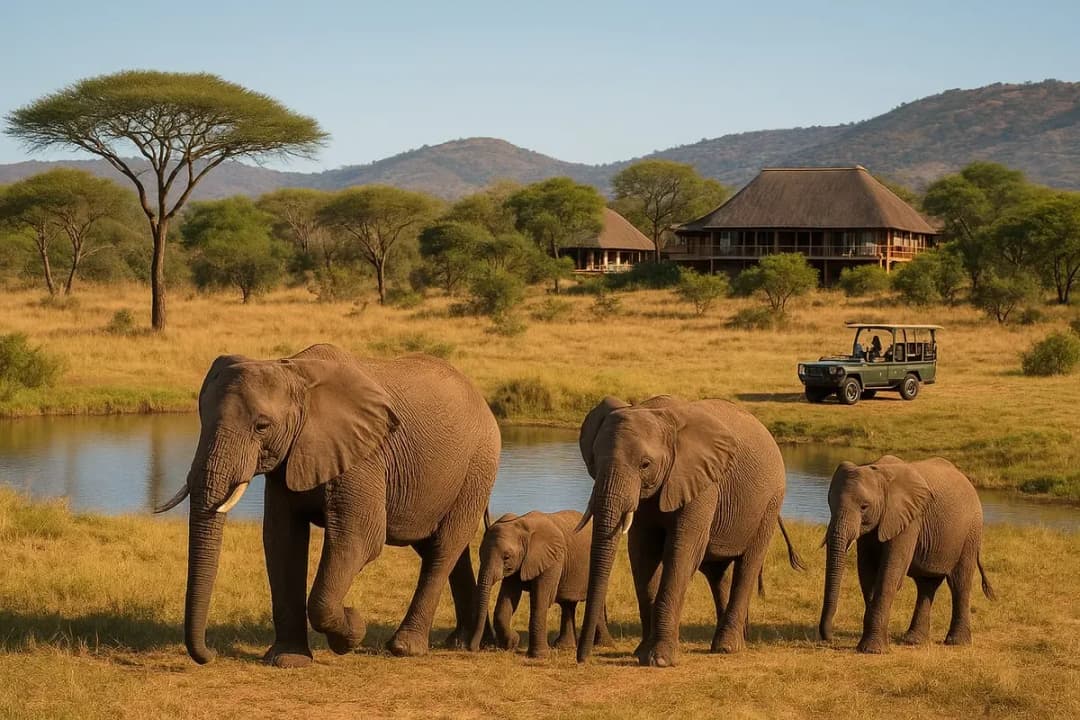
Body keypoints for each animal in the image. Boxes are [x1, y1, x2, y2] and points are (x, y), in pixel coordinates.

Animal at [155, 344, 500, 667]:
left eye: (261, 426)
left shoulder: (363, 456)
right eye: (201, 419)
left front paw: (352, 631)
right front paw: (287, 659)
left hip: (478, 466)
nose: (210, 654)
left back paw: (406, 648)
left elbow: (359, 539)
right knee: (442, 549)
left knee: (444, 547)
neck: (295, 373)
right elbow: (282, 540)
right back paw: (463, 642)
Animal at [468, 510, 612, 658]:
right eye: (480, 554)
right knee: (568, 604)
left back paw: (603, 645)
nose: (474, 648)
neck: (520, 525)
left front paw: (538, 655)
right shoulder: (518, 564)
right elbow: (508, 599)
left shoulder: (552, 559)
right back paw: (564, 647)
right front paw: (511, 643)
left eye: (506, 557)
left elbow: (540, 600)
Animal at [574, 395, 801, 667]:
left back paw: (727, 648)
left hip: (770, 502)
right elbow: (642, 555)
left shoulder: (702, 482)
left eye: (645, 465)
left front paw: (660, 660)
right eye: (593, 461)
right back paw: (727, 642)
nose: (581, 658)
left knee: (748, 564)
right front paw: (642, 653)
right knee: (717, 572)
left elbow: (681, 552)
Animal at [818, 455, 995, 653]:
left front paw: (872, 650)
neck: (880, 472)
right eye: (830, 504)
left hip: (970, 533)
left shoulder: (908, 520)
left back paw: (957, 642)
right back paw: (914, 640)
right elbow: (867, 574)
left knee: (959, 582)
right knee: (926, 585)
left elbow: (890, 574)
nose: (830, 638)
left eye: (864, 507)